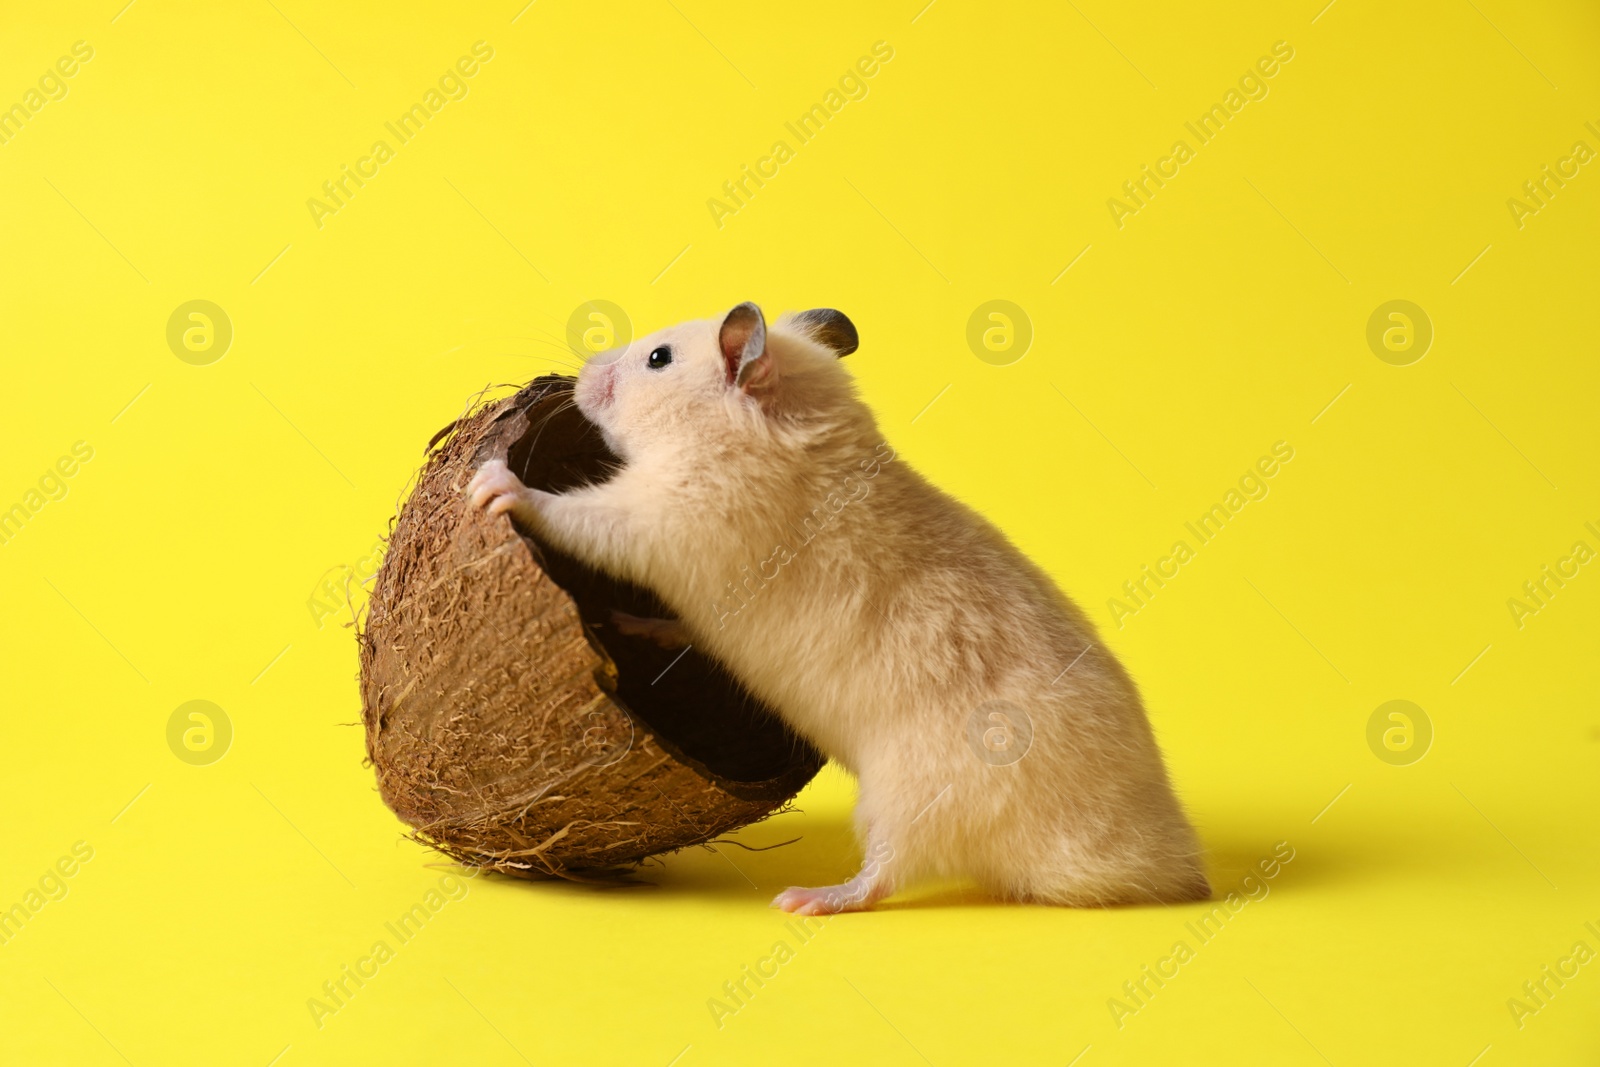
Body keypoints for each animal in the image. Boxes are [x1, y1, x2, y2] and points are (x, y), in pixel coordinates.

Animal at [467, 302, 1203, 921]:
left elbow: (577, 517)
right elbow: (679, 627)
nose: (584, 375)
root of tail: (1158, 861)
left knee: (887, 873)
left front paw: (495, 484)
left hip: (911, 793)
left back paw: (808, 899)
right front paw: (624, 624)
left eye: (658, 358)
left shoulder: (664, 515)